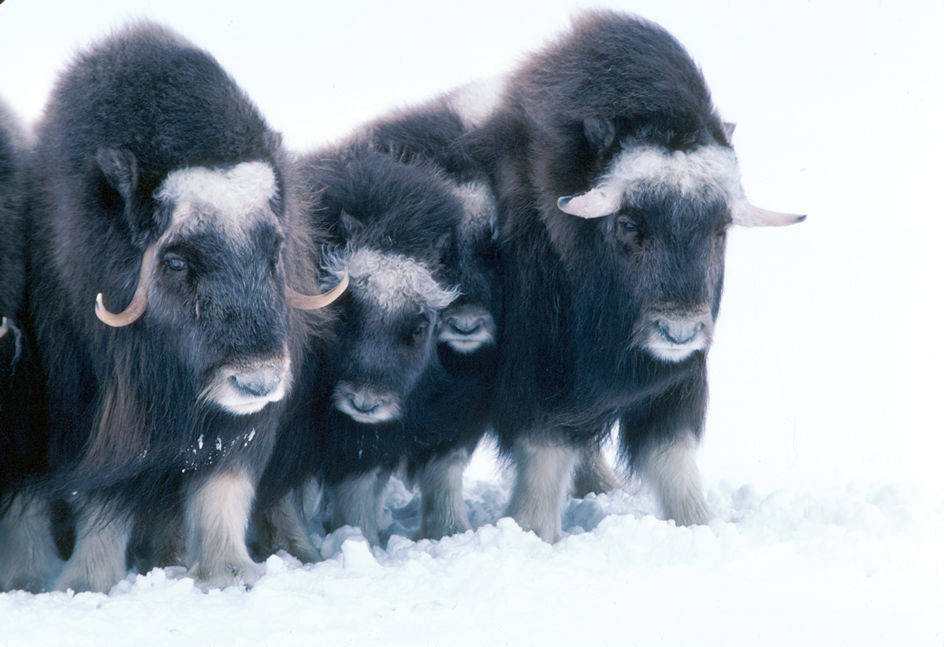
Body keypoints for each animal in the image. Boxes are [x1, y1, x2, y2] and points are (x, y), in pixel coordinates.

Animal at [0, 24, 340, 592]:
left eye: (274, 250)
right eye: (176, 261)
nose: (258, 382)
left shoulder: (235, 427)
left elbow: (224, 486)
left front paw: (230, 573)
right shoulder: (96, 411)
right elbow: (102, 498)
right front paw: (87, 583)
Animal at [472, 12, 804, 544]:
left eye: (720, 228)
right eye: (628, 224)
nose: (680, 331)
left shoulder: (673, 387)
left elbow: (673, 460)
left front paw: (699, 526)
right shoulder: (541, 380)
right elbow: (544, 461)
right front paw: (534, 534)